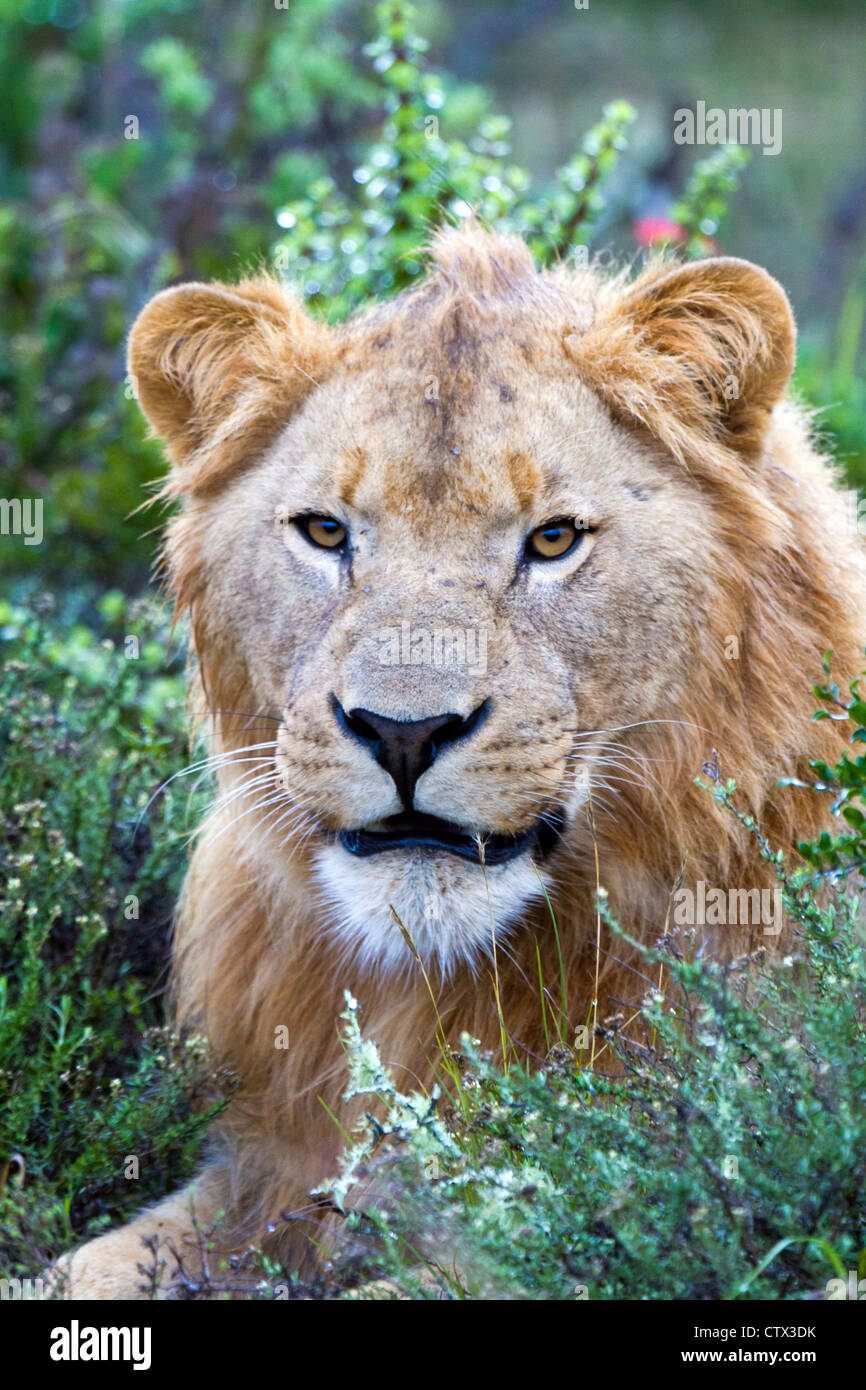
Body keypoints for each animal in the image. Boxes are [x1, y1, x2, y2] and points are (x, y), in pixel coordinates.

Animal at [60, 224, 866, 1297]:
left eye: (554, 538)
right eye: (325, 531)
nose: (403, 732)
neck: (436, 986)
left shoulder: (626, 1210)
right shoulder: (265, 1169)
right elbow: (75, 1269)